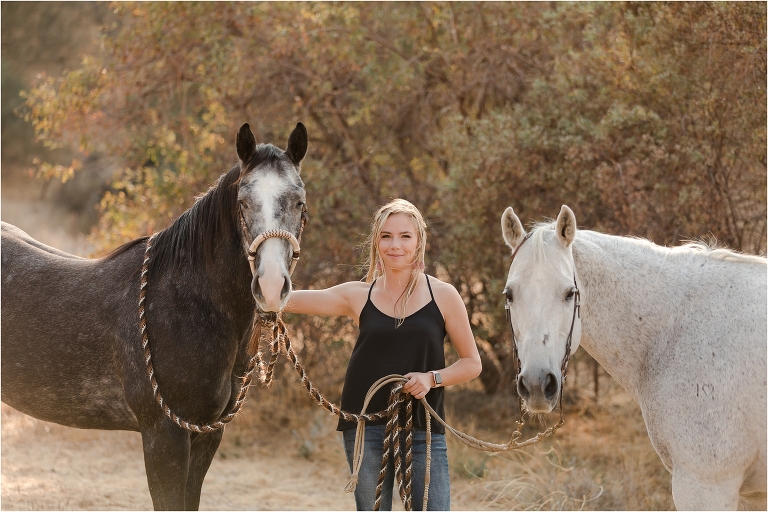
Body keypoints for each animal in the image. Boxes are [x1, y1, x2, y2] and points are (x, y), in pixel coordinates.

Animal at [1, 121, 309, 510]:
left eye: (299, 202)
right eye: (243, 203)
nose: (270, 285)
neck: (188, 302)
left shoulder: (207, 435)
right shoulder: (165, 436)